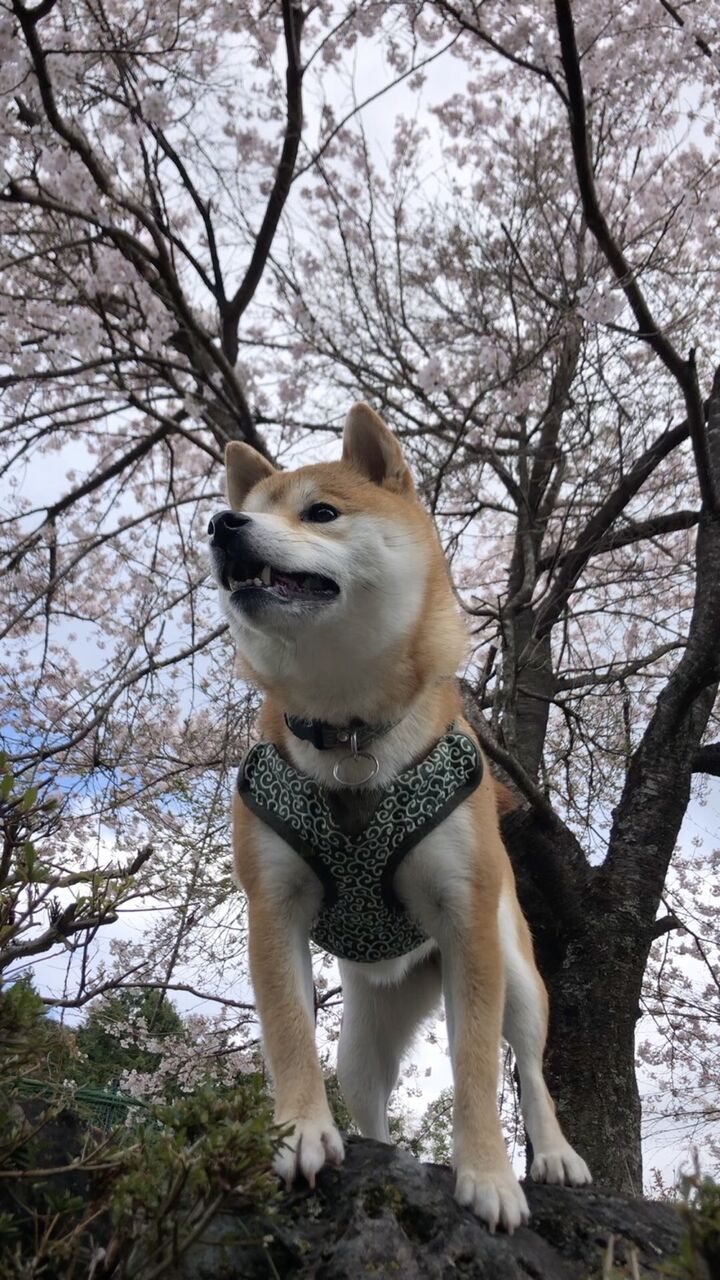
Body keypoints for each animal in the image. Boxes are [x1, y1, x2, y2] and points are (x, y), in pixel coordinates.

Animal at [208, 403, 591, 1232]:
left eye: (321, 512)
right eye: (249, 510)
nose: (222, 525)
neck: (351, 731)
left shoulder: (465, 917)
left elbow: (476, 1065)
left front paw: (488, 1175)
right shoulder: (273, 908)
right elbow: (288, 1029)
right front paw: (300, 1132)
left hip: (517, 971)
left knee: (532, 1069)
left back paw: (553, 1155)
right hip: (368, 1027)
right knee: (368, 1091)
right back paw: (374, 1150)